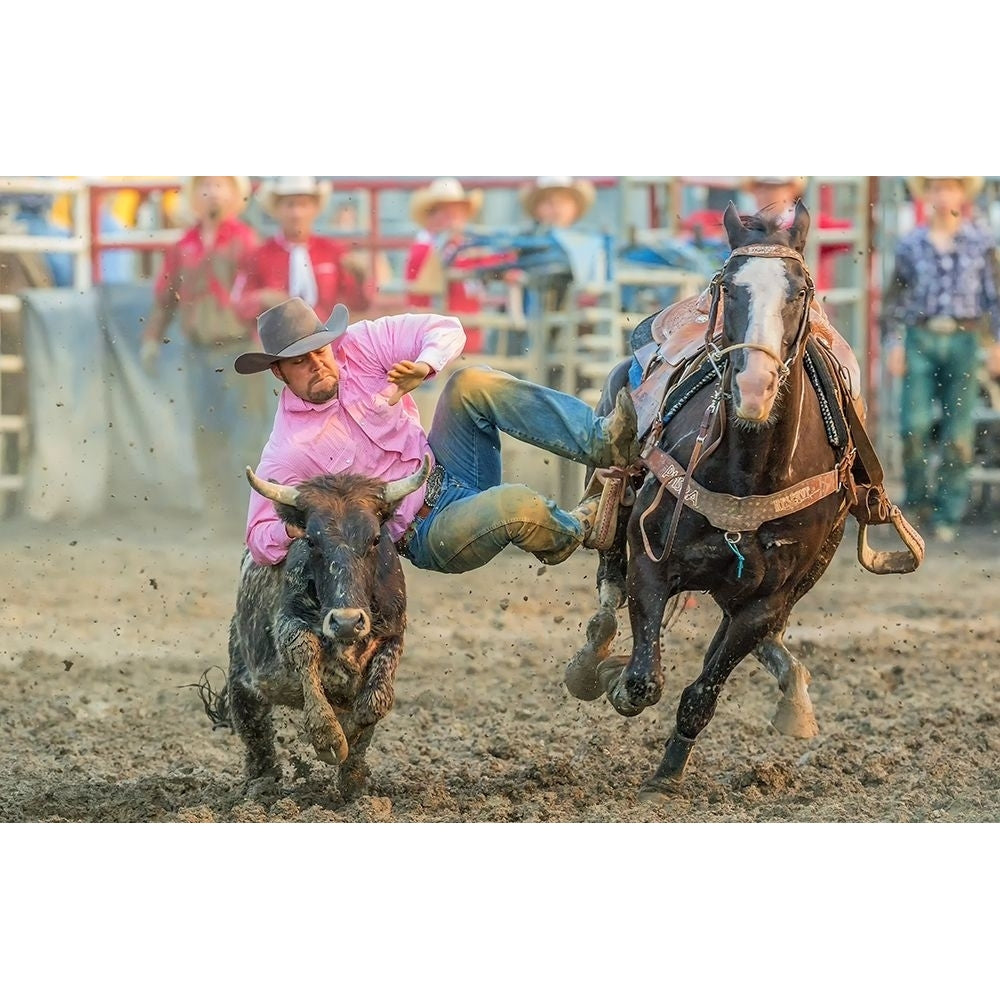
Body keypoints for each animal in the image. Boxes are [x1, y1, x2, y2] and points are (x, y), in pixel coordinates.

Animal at [568, 203, 924, 804]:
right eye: (729, 289)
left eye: (800, 290)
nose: (754, 388)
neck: (748, 472)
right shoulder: (651, 560)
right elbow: (642, 679)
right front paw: (615, 679)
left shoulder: (765, 600)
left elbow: (704, 689)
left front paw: (668, 774)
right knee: (607, 590)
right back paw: (593, 658)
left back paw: (793, 692)